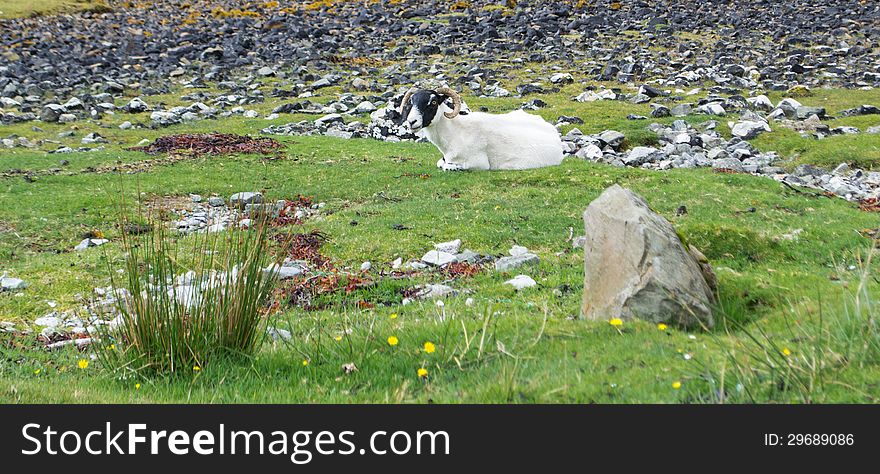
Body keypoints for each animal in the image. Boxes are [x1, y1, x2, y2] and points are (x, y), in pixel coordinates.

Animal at [398, 88, 564, 171]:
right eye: (411, 101)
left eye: (433, 102)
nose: (411, 122)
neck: (455, 132)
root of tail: (552, 130)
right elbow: (441, 163)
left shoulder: (480, 163)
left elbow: (448, 166)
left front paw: (453, 168)